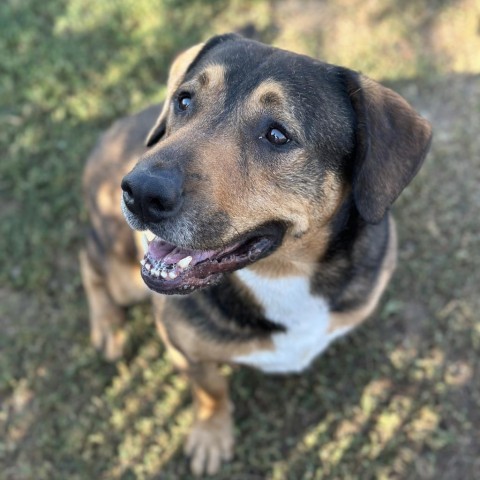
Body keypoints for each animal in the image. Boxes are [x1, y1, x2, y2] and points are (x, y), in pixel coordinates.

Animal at [79, 34, 432, 476]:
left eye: (278, 135)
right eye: (184, 101)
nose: (140, 192)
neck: (282, 273)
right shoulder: (183, 347)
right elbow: (210, 390)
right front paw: (211, 435)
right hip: (122, 271)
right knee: (87, 259)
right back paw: (107, 325)